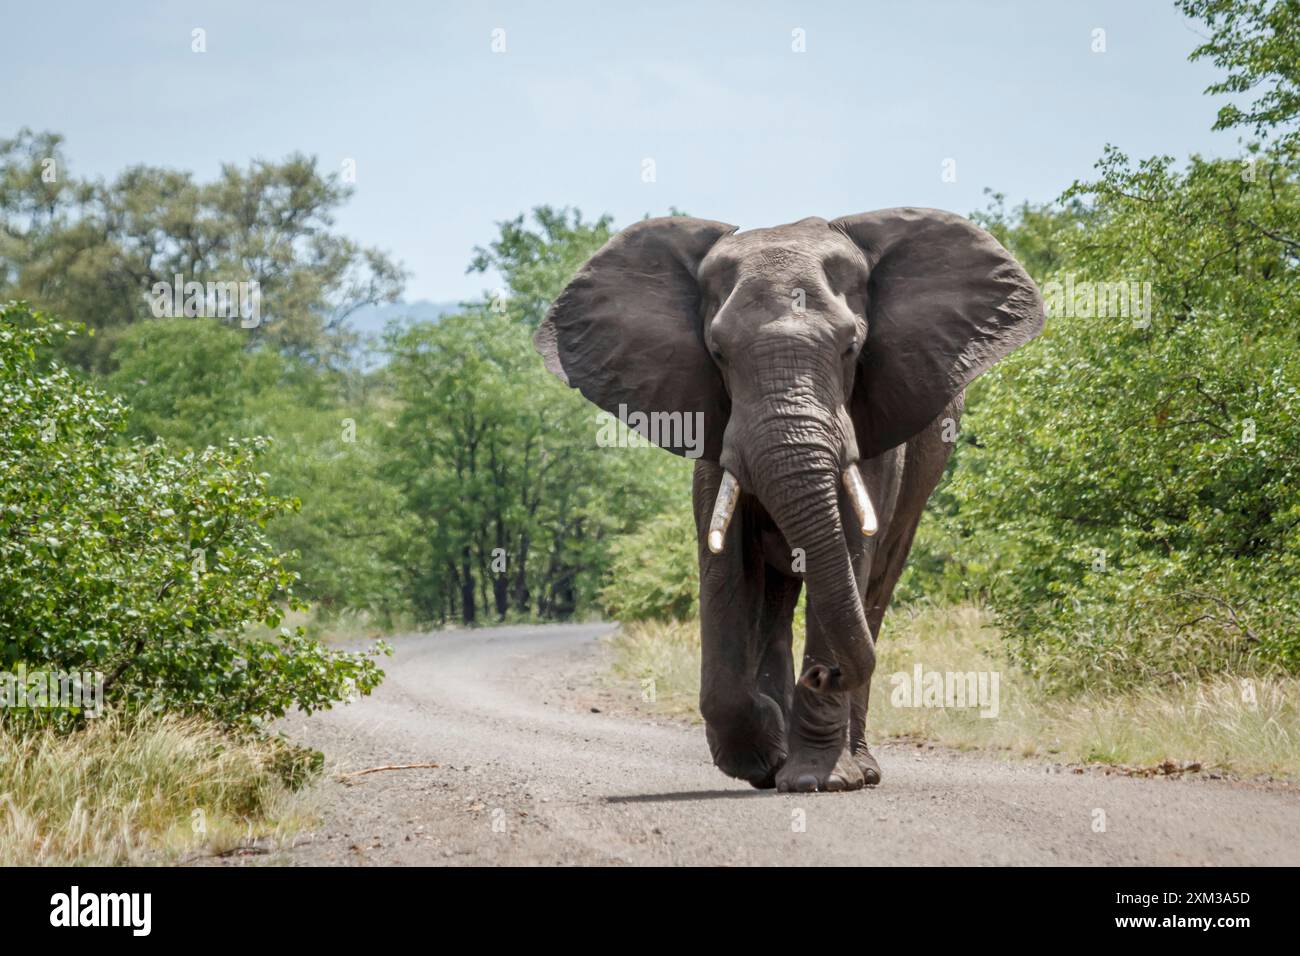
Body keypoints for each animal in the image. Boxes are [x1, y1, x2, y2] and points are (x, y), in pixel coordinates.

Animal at [533, 210, 1040, 790]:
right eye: (718, 353)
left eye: (850, 348)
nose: (824, 674)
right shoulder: (712, 422)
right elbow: (725, 562)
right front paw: (761, 757)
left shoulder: (871, 425)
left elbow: (850, 544)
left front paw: (819, 779)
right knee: (778, 604)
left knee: (875, 587)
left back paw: (859, 767)